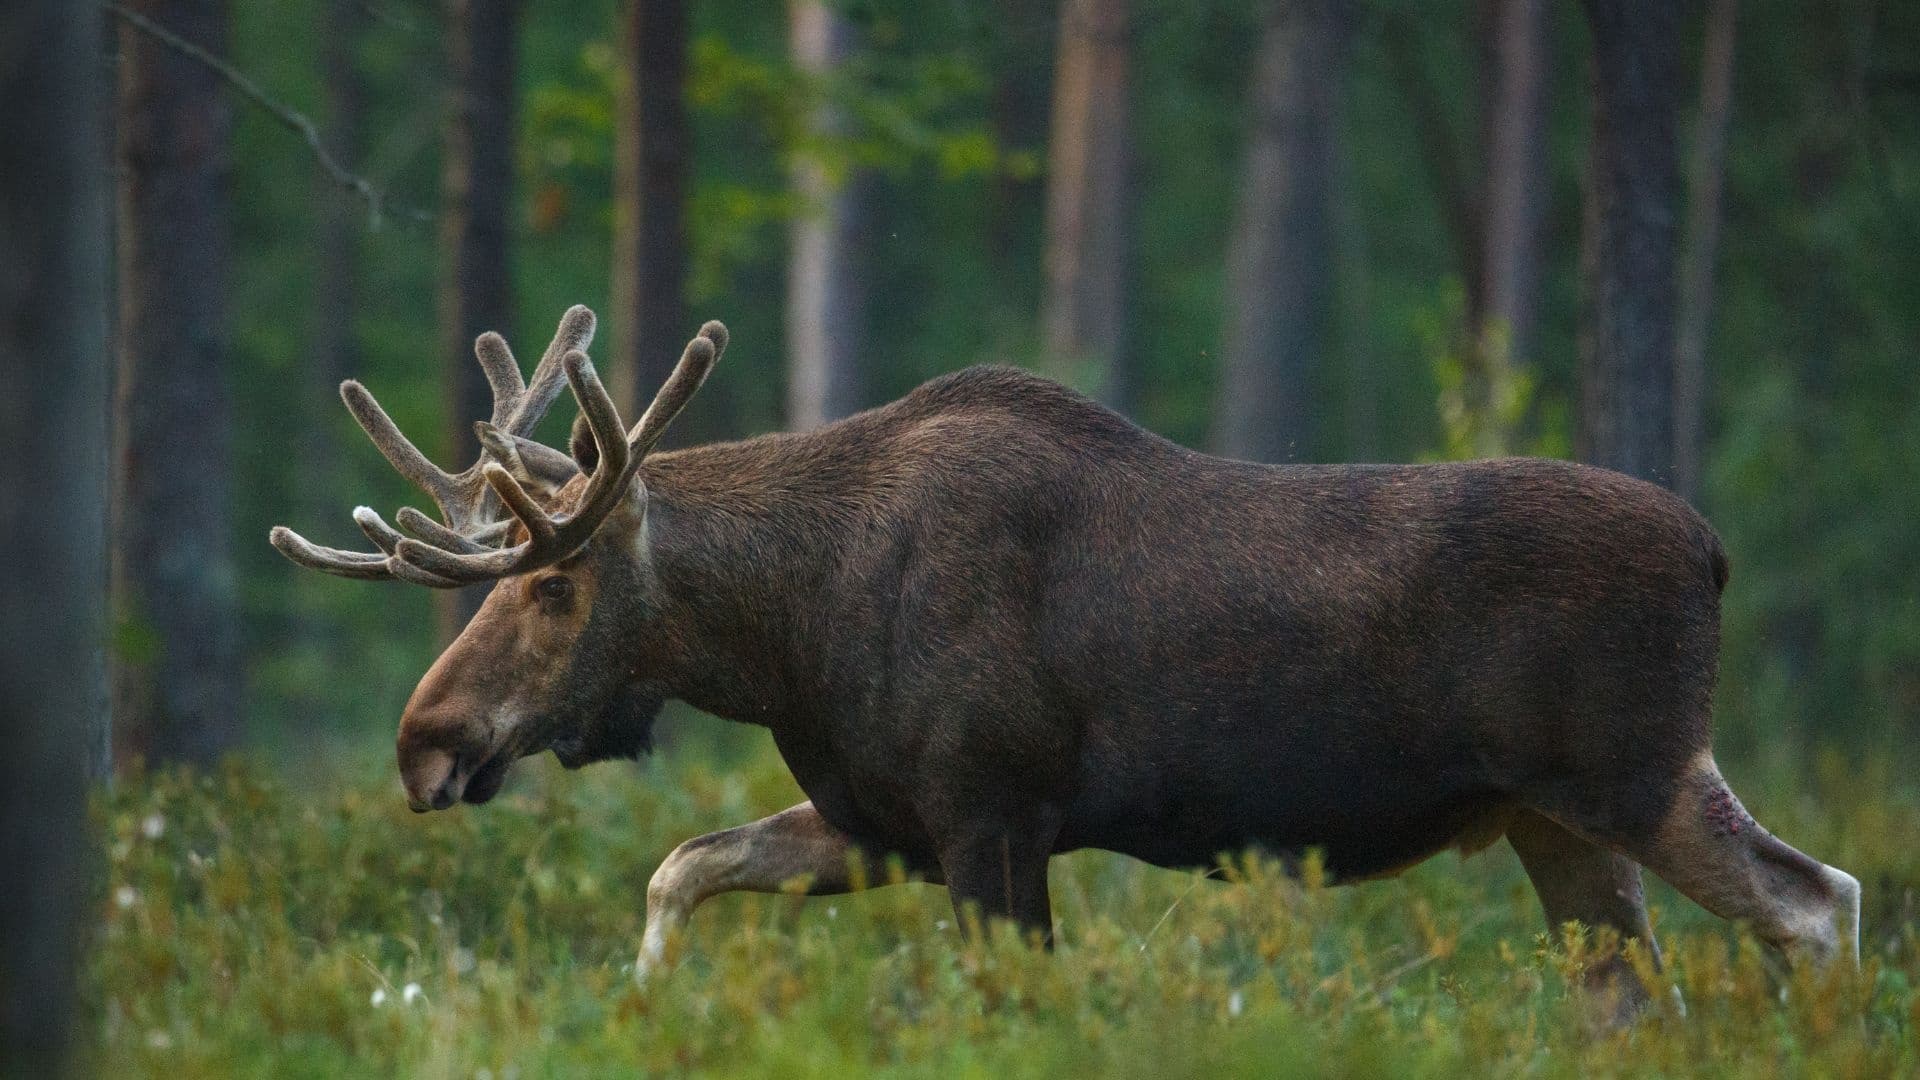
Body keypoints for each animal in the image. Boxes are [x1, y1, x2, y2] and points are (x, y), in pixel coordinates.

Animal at [273, 306, 1859, 1008]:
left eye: (553, 585)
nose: (425, 743)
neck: (790, 640)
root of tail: (1717, 551)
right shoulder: (884, 819)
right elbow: (683, 866)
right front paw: (647, 1005)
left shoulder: (992, 813)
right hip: (1552, 823)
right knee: (1636, 992)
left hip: (1634, 774)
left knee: (1820, 903)